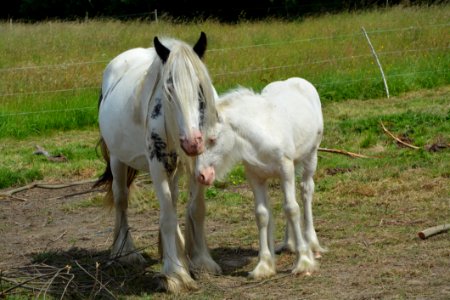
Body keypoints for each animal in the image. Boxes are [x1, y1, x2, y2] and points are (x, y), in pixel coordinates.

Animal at [95, 32, 221, 292]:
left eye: (200, 87)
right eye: (168, 87)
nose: (192, 142)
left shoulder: (199, 164)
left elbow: (196, 209)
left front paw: (201, 260)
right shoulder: (158, 165)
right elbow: (168, 216)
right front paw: (175, 274)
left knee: (171, 200)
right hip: (118, 160)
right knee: (122, 200)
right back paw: (126, 252)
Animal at [195, 77, 326, 278]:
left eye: (213, 139)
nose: (202, 175)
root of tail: (298, 81)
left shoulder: (285, 169)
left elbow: (292, 209)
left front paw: (304, 262)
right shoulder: (255, 177)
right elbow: (262, 214)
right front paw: (264, 265)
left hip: (311, 156)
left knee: (305, 192)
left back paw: (312, 243)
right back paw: (289, 243)